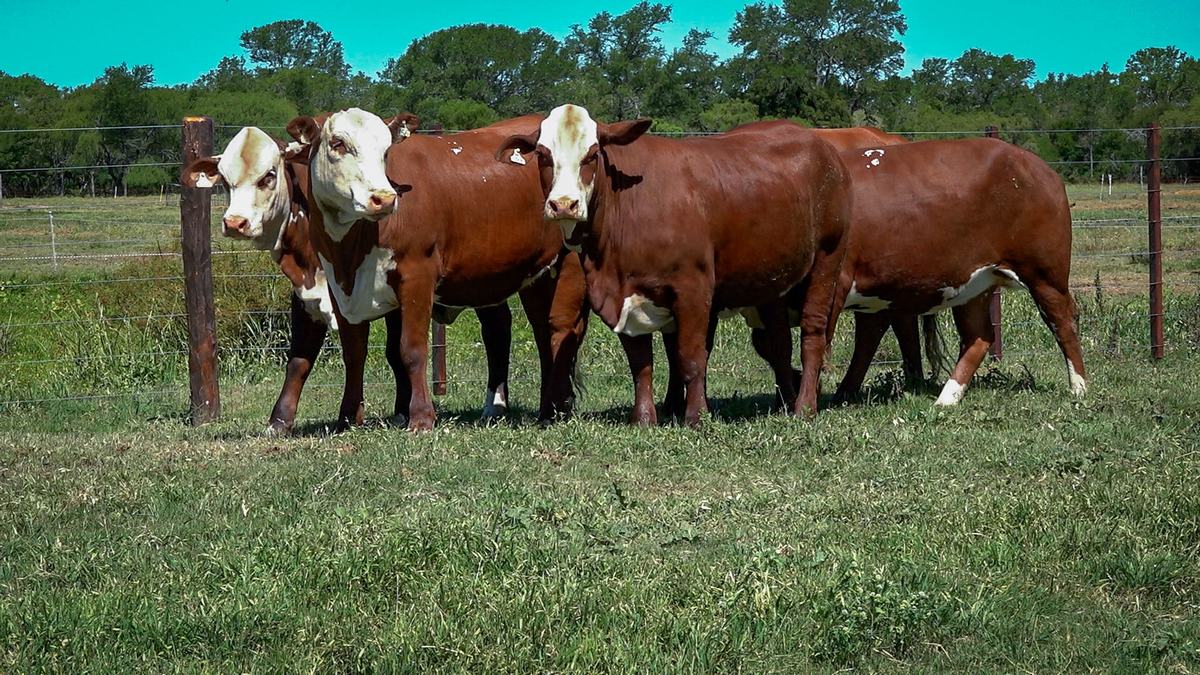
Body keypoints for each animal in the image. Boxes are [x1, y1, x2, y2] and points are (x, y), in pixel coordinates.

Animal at [289, 109, 589, 431]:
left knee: (559, 331)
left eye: (386, 151)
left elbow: (411, 350)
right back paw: (534, 407)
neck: (350, 251)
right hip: (528, 274)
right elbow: (354, 353)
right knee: (532, 333)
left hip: (566, 264)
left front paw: (421, 417)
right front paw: (347, 418)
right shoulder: (341, 286)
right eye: (338, 144)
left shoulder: (416, 277)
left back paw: (553, 409)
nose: (384, 198)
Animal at [496, 104, 852, 426]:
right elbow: (640, 363)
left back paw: (804, 407)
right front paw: (643, 419)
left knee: (813, 333)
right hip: (773, 281)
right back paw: (785, 403)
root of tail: (820, 144)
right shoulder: (619, 295)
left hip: (827, 259)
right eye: (543, 155)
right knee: (779, 342)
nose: (564, 204)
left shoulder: (693, 290)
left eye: (592, 155)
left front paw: (696, 417)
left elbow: (691, 357)